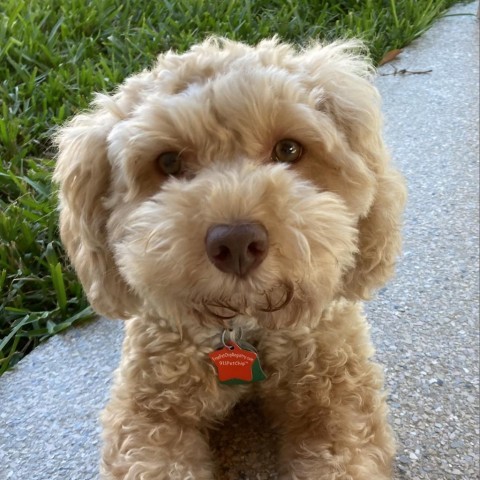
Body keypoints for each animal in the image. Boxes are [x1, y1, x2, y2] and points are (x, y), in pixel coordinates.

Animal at [53, 38, 404, 480]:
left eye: (289, 149)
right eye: (168, 162)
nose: (236, 243)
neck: (243, 325)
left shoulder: (341, 394)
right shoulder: (145, 414)